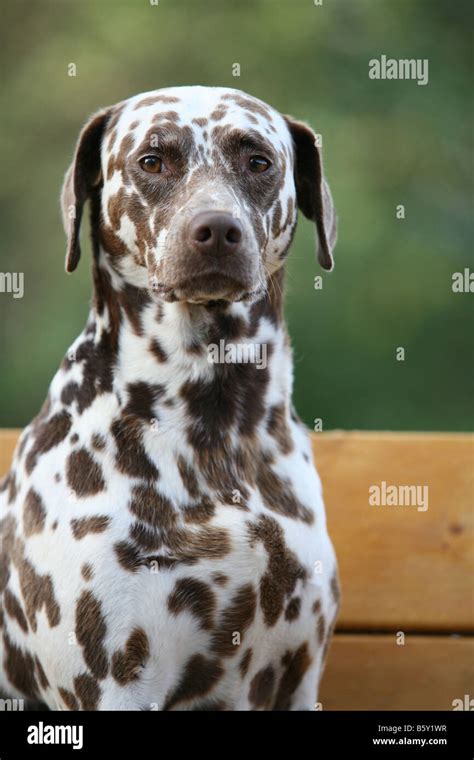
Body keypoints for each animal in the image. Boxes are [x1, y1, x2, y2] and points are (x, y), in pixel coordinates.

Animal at [0, 86, 340, 708]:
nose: (217, 229)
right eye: (152, 160)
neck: (217, 430)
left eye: (258, 160)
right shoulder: (114, 681)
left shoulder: (299, 679)